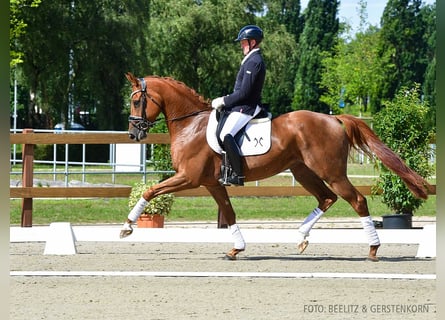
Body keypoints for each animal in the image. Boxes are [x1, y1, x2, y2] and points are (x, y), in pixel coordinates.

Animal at [119, 73, 432, 262]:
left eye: (136, 100)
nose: (133, 134)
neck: (190, 124)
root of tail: (333, 118)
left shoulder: (188, 178)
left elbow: (149, 192)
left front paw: (126, 228)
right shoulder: (211, 183)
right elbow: (229, 213)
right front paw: (236, 248)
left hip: (331, 172)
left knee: (356, 199)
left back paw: (373, 248)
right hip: (303, 171)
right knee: (326, 198)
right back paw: (301, 237)